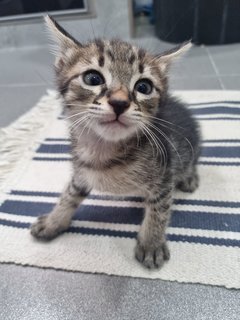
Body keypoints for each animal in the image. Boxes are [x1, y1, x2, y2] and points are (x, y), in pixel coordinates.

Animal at [31, 15, 201, 270]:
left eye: (143, 87)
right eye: (92, 78)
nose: (119, 102)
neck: (104, 150)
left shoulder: (164, 174)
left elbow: (159, 210)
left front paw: (151, 243)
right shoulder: (81, 173)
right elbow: (69, 195)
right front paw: (54, 221)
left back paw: (189, 177)